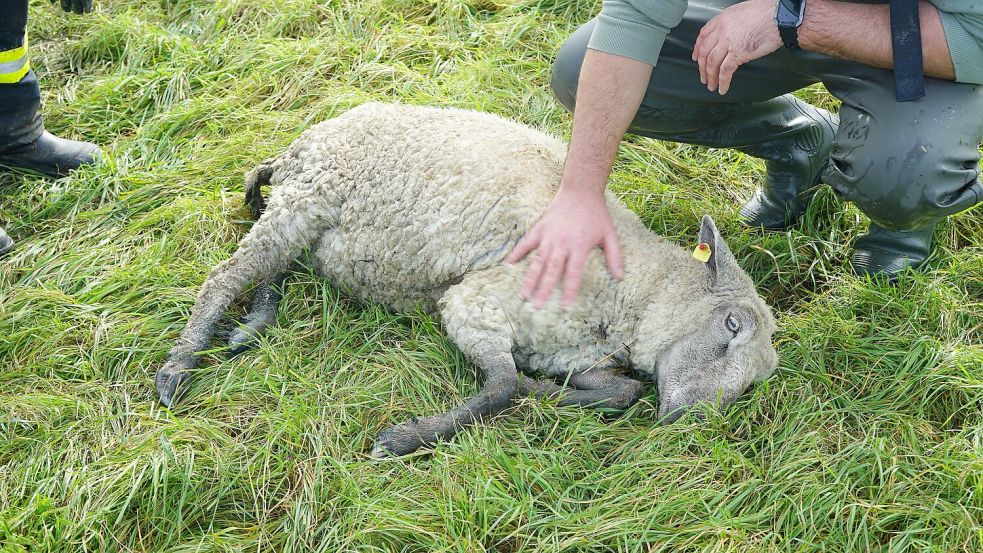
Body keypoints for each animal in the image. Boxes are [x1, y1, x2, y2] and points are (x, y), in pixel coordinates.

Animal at [156, 102, 776, 458]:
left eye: (758, 379)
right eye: (730, 325)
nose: (691, 424)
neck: (631, 291)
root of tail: (298, 146)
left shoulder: (566, 348)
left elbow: (616, 391)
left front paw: (551, 394)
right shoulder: (476, 302)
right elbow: (500, 386)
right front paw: (405, 439)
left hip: (309, 224)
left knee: (274, 267)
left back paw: (251, 324)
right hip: (307, 200)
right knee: (223, 277)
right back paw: (178, 368)